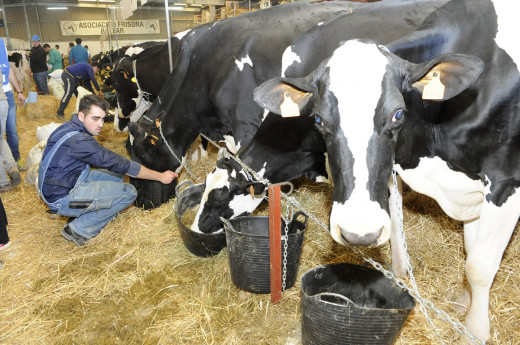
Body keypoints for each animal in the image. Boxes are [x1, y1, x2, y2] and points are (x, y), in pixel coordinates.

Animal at [253, 0, 516, 340]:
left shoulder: (505, 183)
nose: (358, 233)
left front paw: (475, 331)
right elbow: (468, 250)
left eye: (398, 114)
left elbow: (479, 265)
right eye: (318, 120)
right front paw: (464, 302)